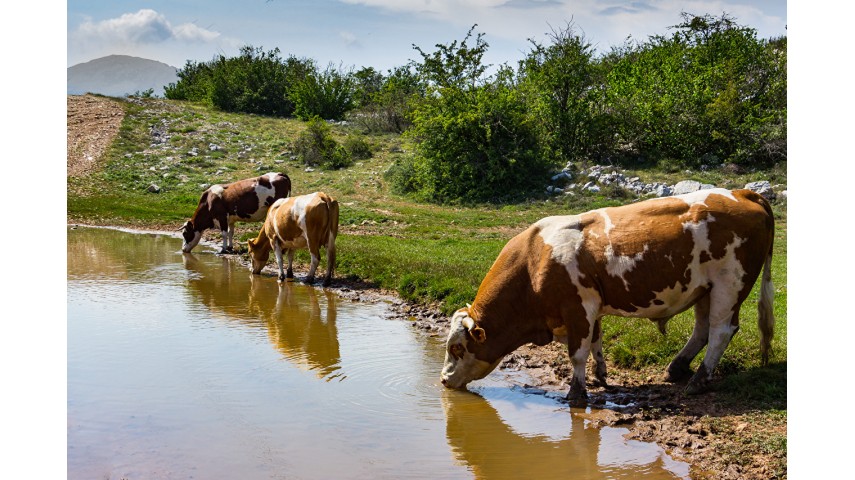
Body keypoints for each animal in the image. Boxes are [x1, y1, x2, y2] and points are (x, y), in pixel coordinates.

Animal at [442, 189, 776, 404]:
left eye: (458, 348)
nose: (444, 380)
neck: (533, 260)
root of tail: (742, 192)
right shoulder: (591, 310)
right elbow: (596, 343)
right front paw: (599, 376)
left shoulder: (577, 309)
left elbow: (577, 353)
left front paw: (576, 392)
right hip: (705, 288)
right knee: (703, 329)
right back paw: (677, 368)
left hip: (729, 285)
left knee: (721, 331)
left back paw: (698, 381)